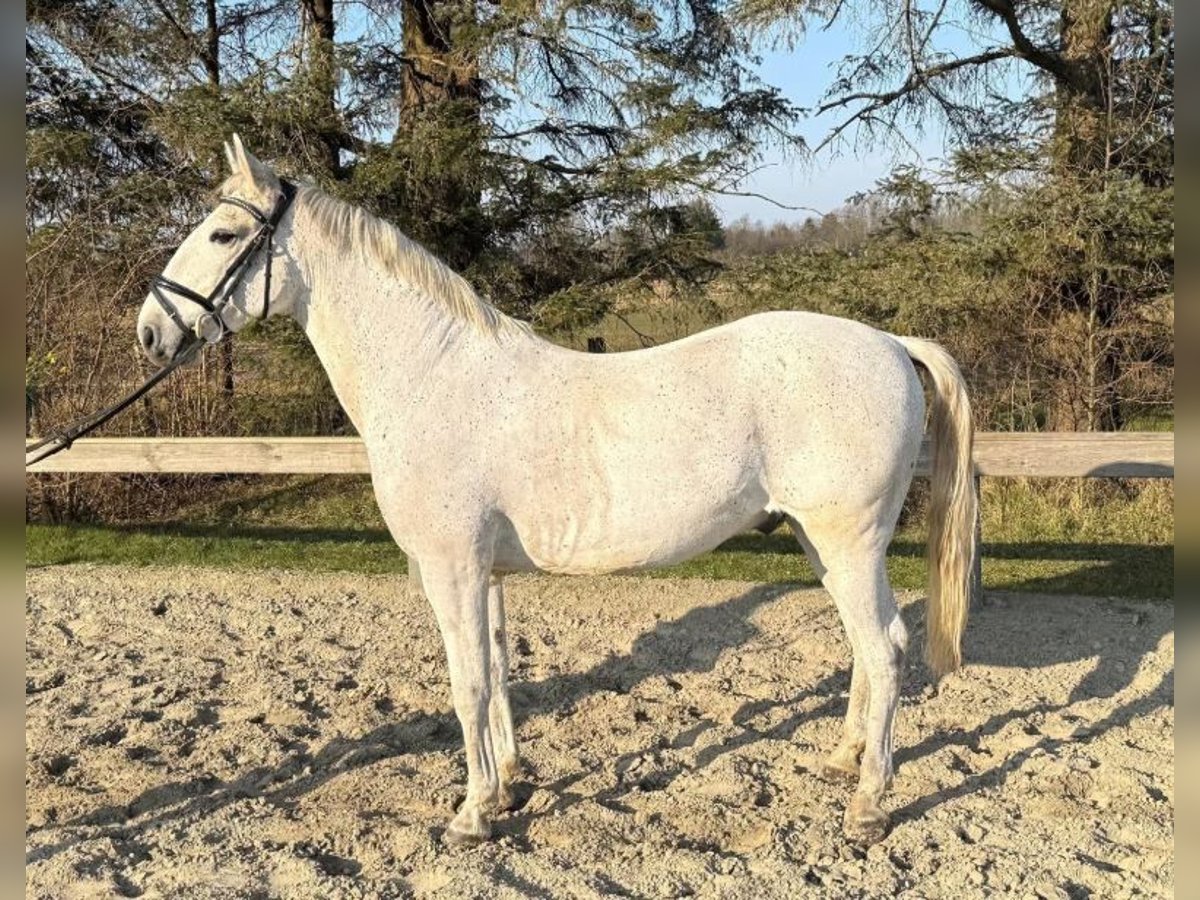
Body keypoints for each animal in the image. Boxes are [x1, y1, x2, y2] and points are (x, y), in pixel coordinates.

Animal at [138, 137, 974, 849]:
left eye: (222, 235)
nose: (149, 331)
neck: (433, 373)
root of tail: (890, 343)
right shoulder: (486, 573)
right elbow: (501, 674)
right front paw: (509, 785)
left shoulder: (451, 568)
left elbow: (468, 684)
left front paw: (473, 814)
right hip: (820, 542)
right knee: (865, 648)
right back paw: (840, 761)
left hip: (848, 540)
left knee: (885, 649)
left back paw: (868, 802)